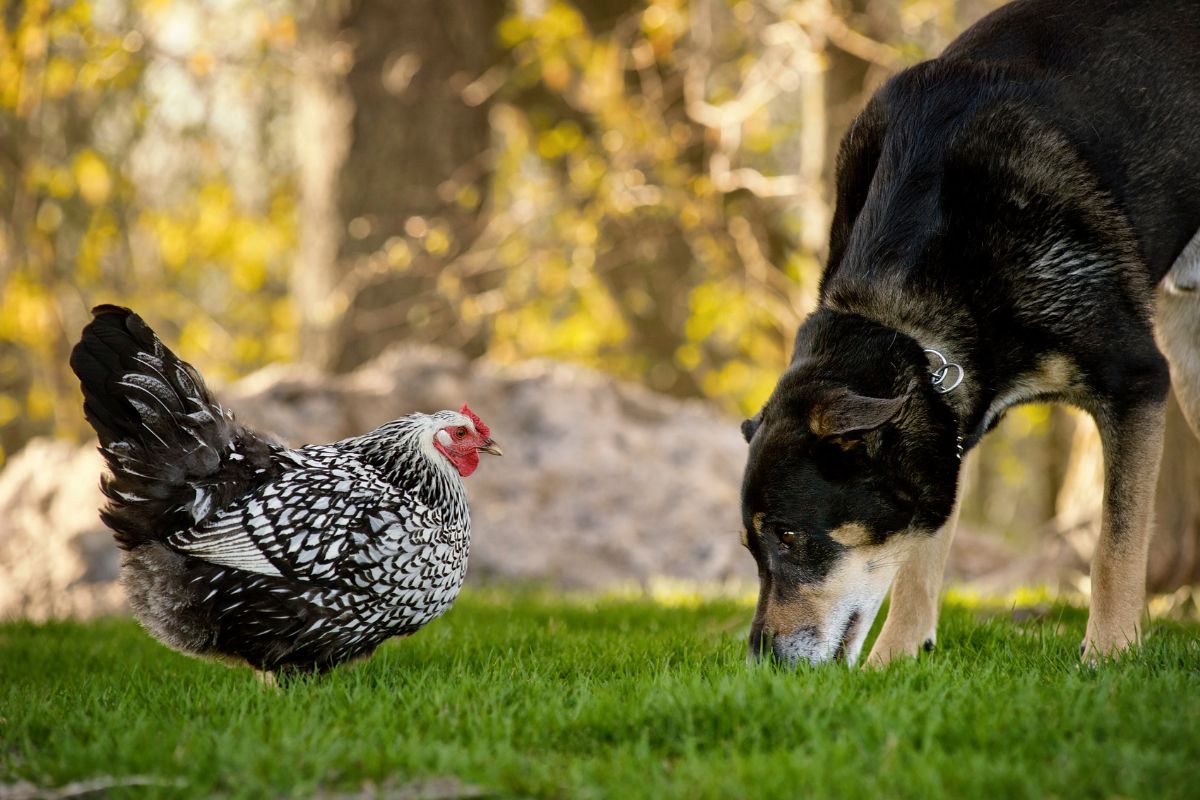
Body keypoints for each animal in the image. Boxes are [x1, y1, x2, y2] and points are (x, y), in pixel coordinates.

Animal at [739, 0, 1200, 666]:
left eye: (789, 535)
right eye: (753, 548)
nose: (760, 663)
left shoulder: (1136, 379)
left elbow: (1114, 545)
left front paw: (1108, 655)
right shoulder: (945, 429)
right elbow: (918, 562)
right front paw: (895, 659)